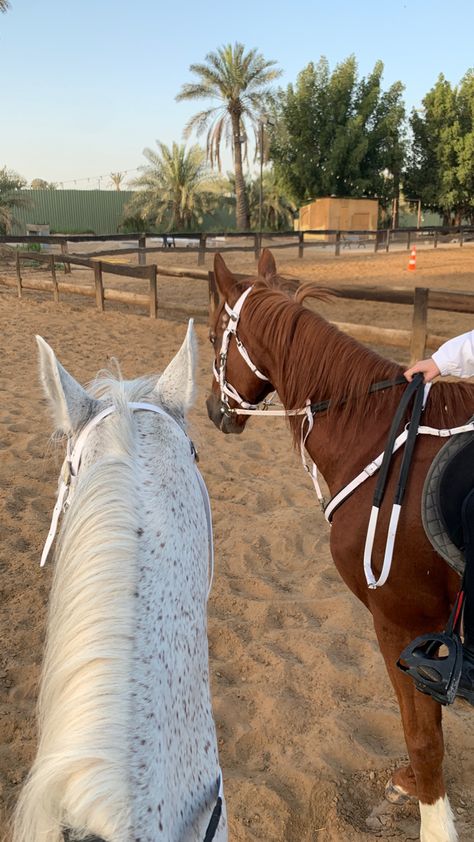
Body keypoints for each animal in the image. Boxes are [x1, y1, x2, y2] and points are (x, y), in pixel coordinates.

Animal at [206, 249, 474, 840]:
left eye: (213, 336)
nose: (213, 411)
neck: (378, 440)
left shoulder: (401, 623)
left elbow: (424, 737)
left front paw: (433, 818)